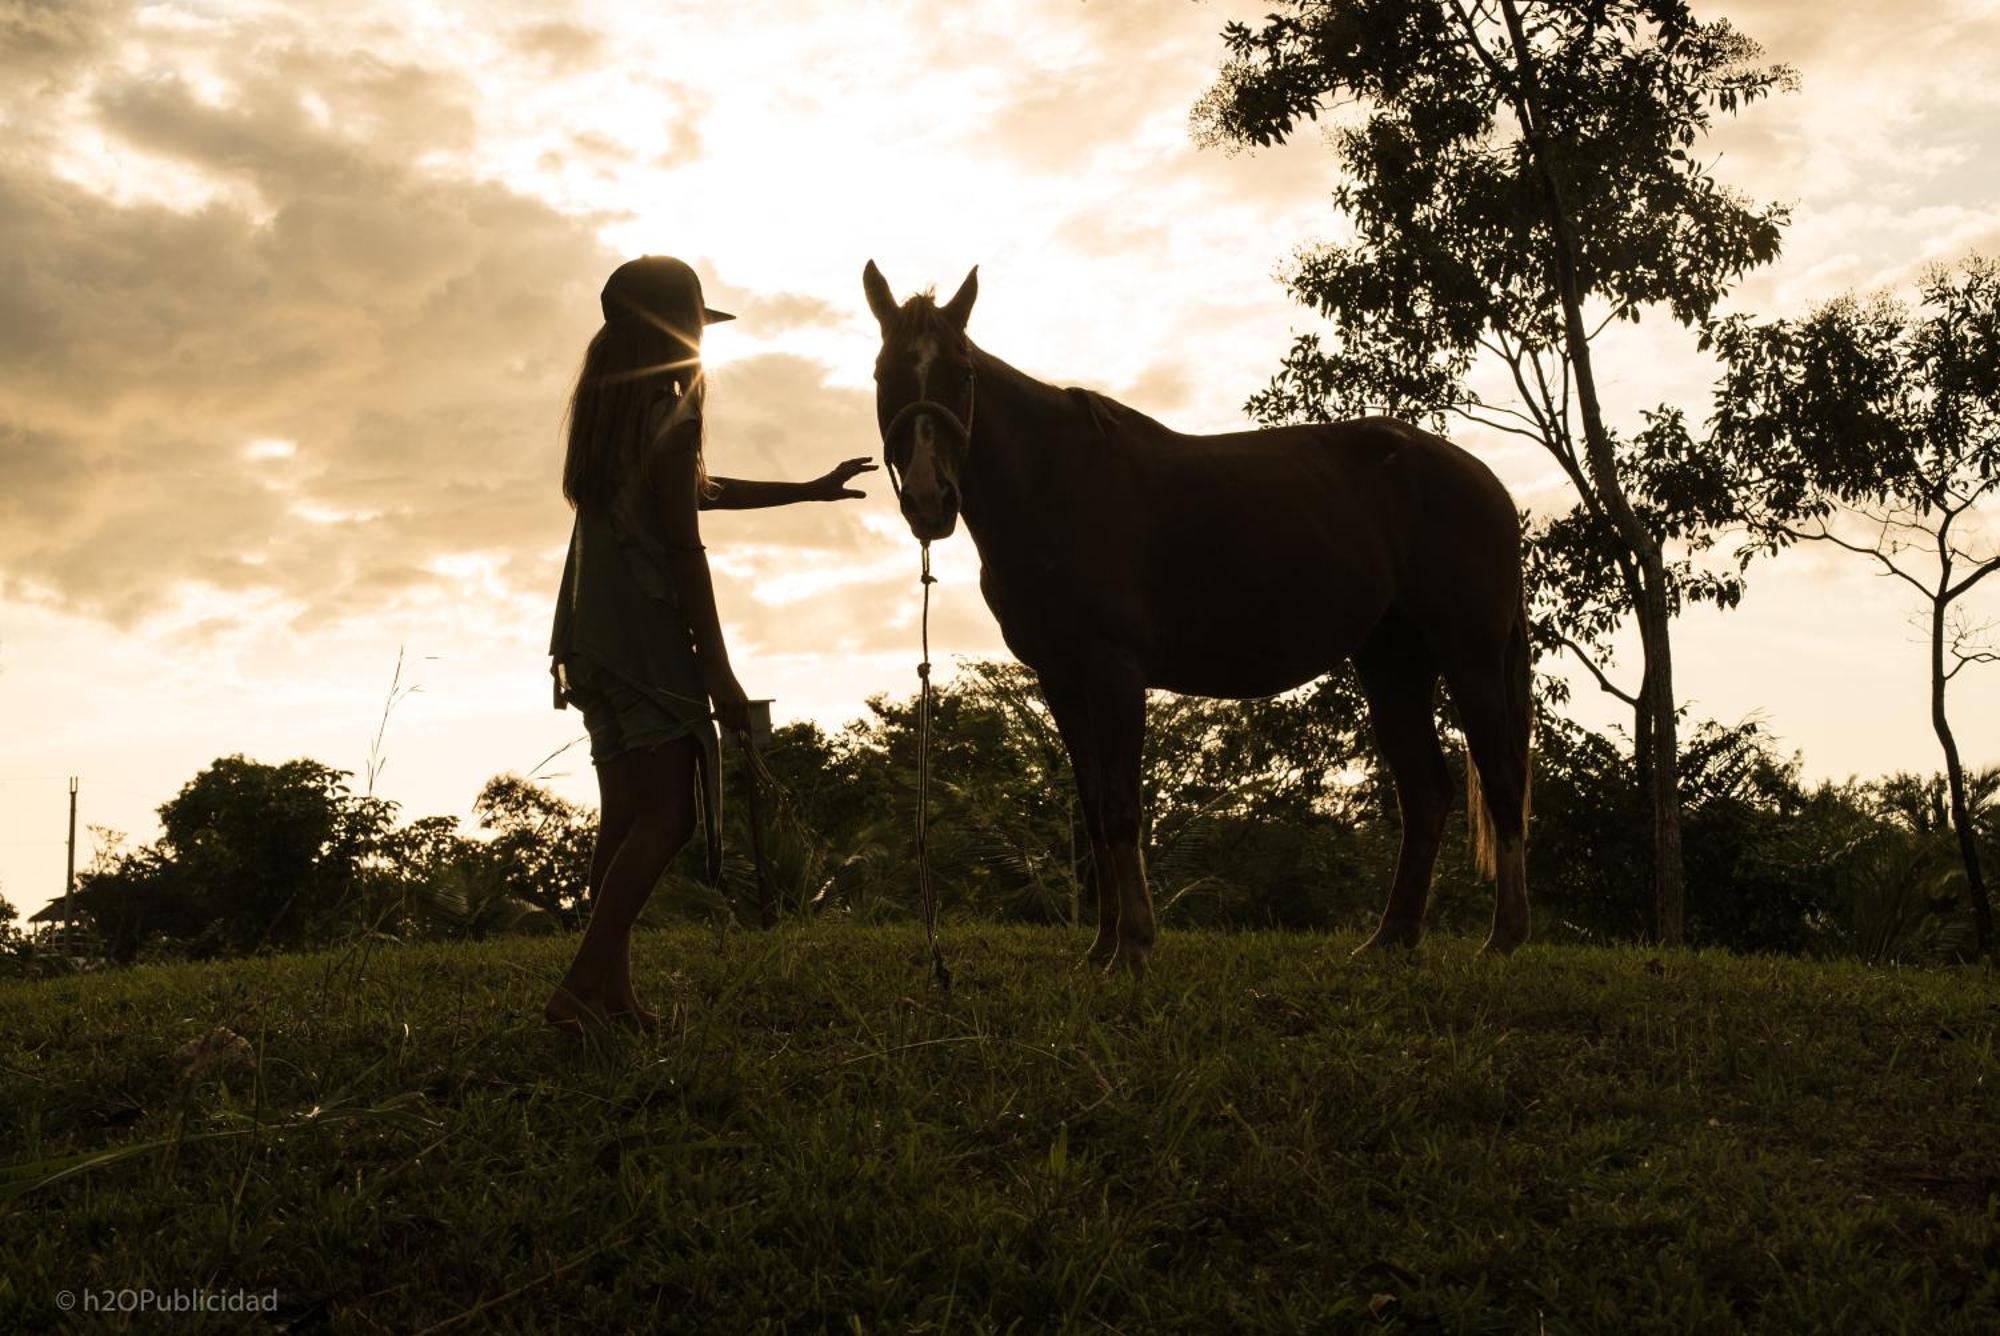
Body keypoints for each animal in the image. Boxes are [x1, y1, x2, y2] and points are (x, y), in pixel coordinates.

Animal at [860, 260, 1528, 972]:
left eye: (963, 374)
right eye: (882, 374)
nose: (929, 499)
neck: (1053, 484)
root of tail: (1483, 479)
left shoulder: (1114, 671)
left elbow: (1122, 808)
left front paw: (1134, 944)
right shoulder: (1061, 679)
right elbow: (1093, 809)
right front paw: (1101, 946)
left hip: (1470, 658)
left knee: (1501, 780)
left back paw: (1505, 936)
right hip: (1392, 665)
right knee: (1426, 794)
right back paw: (1391, 936)